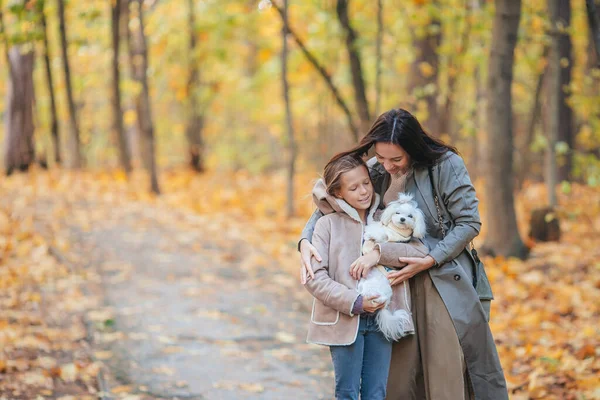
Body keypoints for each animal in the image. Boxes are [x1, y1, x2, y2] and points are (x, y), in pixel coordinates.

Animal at [356, 193, 426, 340]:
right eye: (397, 213)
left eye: (410, 216)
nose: (402, 219)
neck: (395, 228)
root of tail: (385, 302)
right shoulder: (376, 223)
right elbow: (372, 219)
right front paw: (375, 201)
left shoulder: (389, 239)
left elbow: (380, 234)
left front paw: (370, 234)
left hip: (371, 288)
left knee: (369, 295)